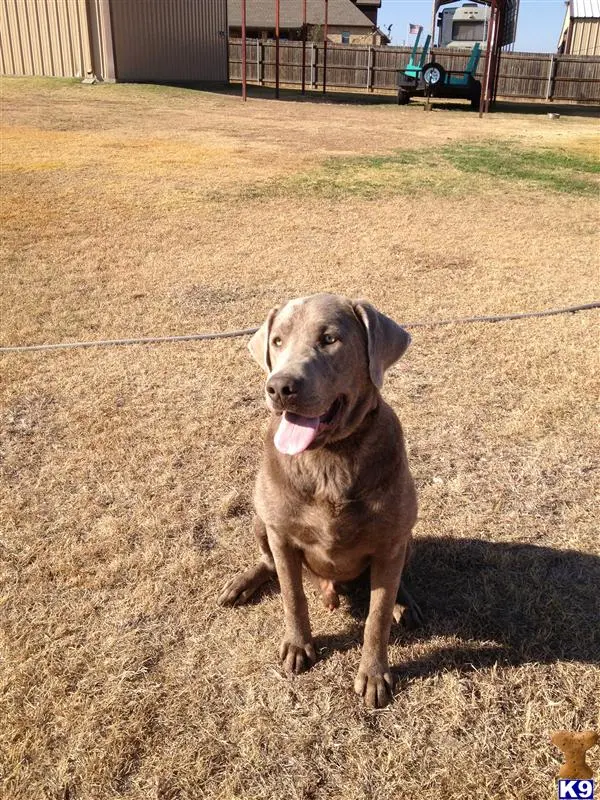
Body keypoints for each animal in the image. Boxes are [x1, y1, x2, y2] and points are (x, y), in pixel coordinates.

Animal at [218, 294, 420, 708]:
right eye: (277, 341)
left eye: (329, 339)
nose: (280, 387)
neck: (328, 459)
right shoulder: (280, 533)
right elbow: (292, 595)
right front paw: (299, 647)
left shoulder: (391, 539)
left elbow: (376, 616)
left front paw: (374, 675)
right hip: (259, 519)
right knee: (268, 563)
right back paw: (241, 583)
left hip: (407, 532)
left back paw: (404, 602)